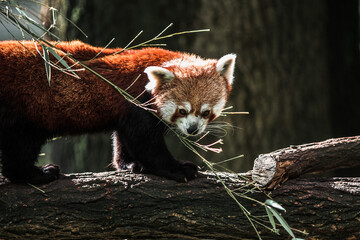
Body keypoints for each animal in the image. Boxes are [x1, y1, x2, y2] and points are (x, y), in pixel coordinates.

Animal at [0, 40, 235, 184]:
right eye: (182, 111)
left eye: (206, 112)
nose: (193, 130)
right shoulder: (137, 103)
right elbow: (146, 144)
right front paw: (178, 169)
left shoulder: (126, 112)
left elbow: (124, 138)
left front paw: (129, 164)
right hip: (27, 108)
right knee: (20, 145)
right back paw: (36, 174)